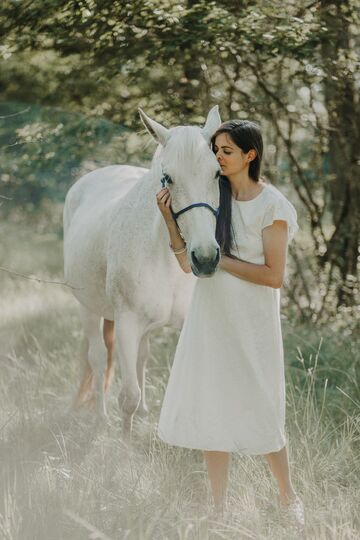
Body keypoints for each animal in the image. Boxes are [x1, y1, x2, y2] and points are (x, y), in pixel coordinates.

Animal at [64, 104, 222, 438]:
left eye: (217, 172)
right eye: (168, 178)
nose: (205, 258)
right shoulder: (127, 323)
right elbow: (128, 398)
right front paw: (125, 442)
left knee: (141, 357)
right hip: (88, 308)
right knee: (99, 359)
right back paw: (101, 418)